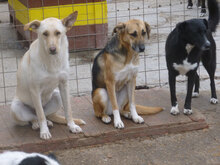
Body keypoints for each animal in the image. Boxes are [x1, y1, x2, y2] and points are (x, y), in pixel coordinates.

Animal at [10, 11, 85, 140]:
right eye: (45, 33)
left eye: (58, 33)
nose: (52, 49)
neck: (53, 61)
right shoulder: (35, 90)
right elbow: (40, 115)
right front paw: (44, 131)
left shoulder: (64, 85)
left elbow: (68, 110)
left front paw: (72, 126)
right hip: (16, 107)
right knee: (35, 117)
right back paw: (37, 124)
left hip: (57, 95)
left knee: (46, 115)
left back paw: (49, 122)